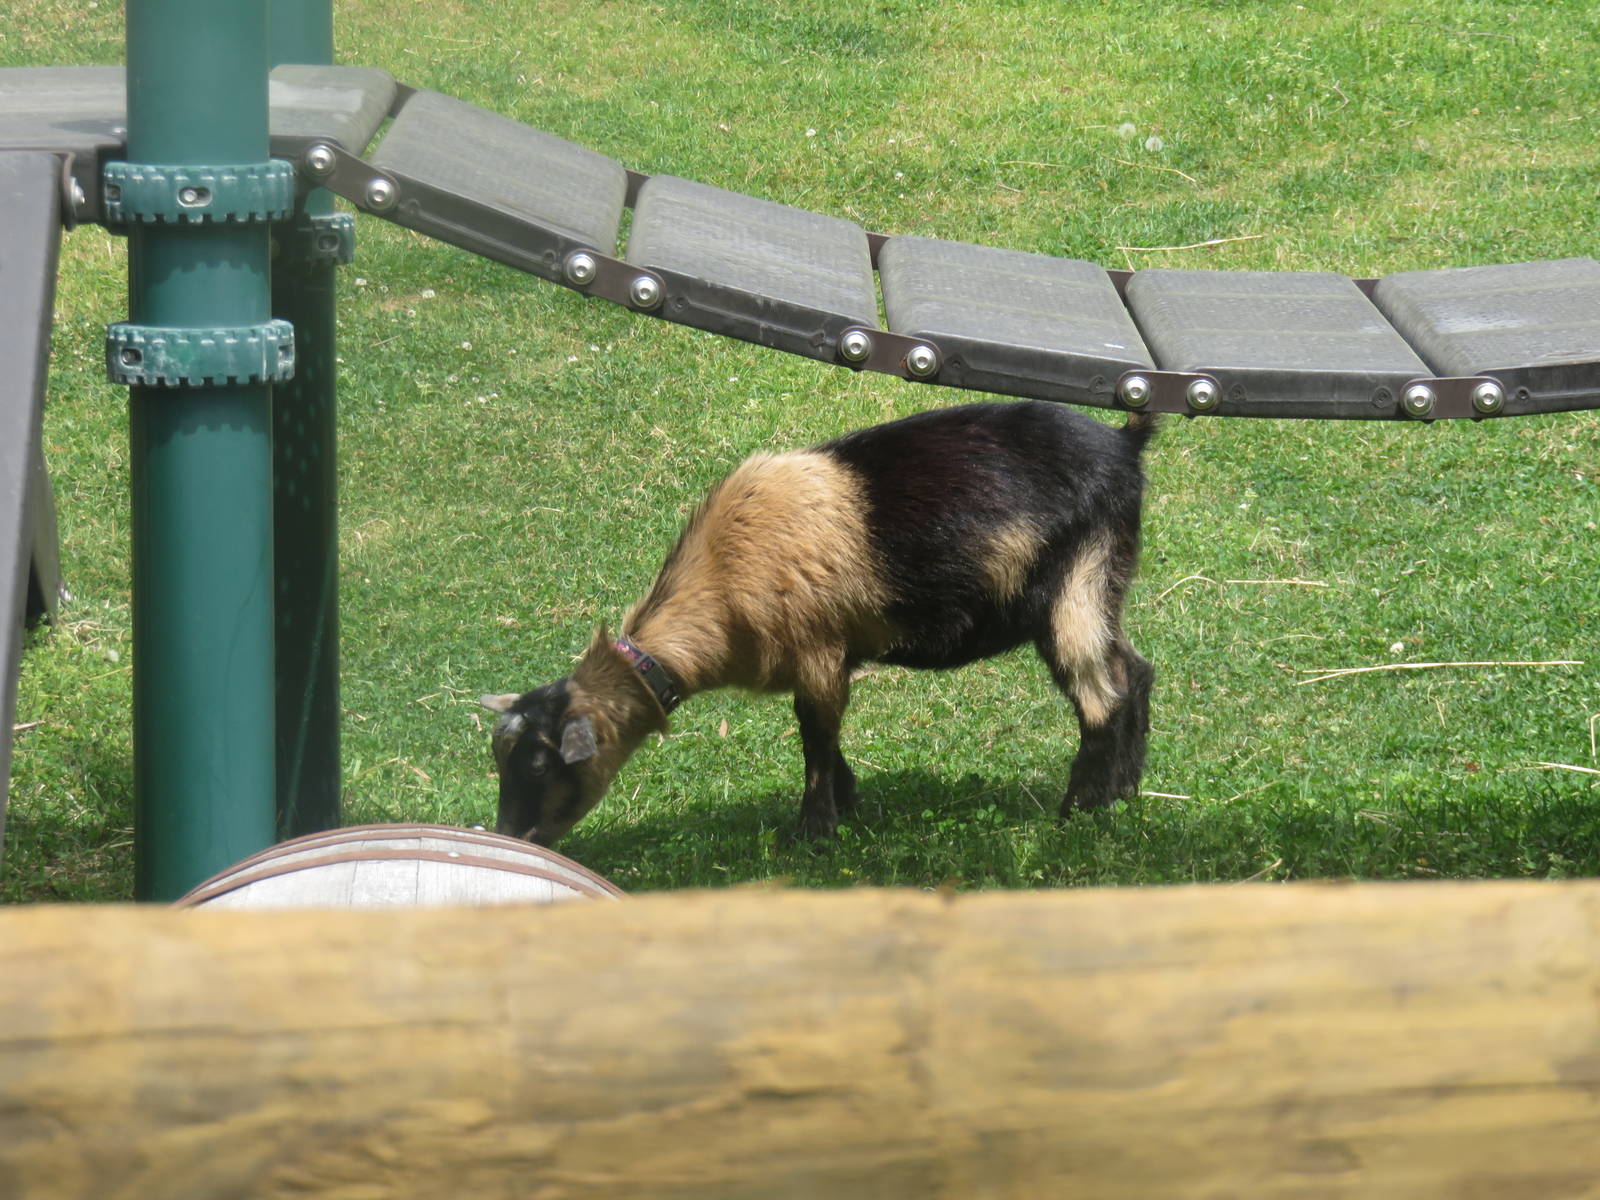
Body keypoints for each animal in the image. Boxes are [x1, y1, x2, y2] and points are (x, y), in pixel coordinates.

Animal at [480, 399, 1155, 845]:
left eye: (539, 764)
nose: (513, 834)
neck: (725, 577)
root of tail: (1126, 444)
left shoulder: (819, 652)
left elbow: (815, 737)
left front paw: (814, 831)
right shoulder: (817, 664)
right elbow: (823, 738)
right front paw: (848, 800)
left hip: (1074, 586)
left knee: (1099, 698)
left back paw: (1076, 812)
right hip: (1106, 579)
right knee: (1134, 673)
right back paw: (1123, 791)